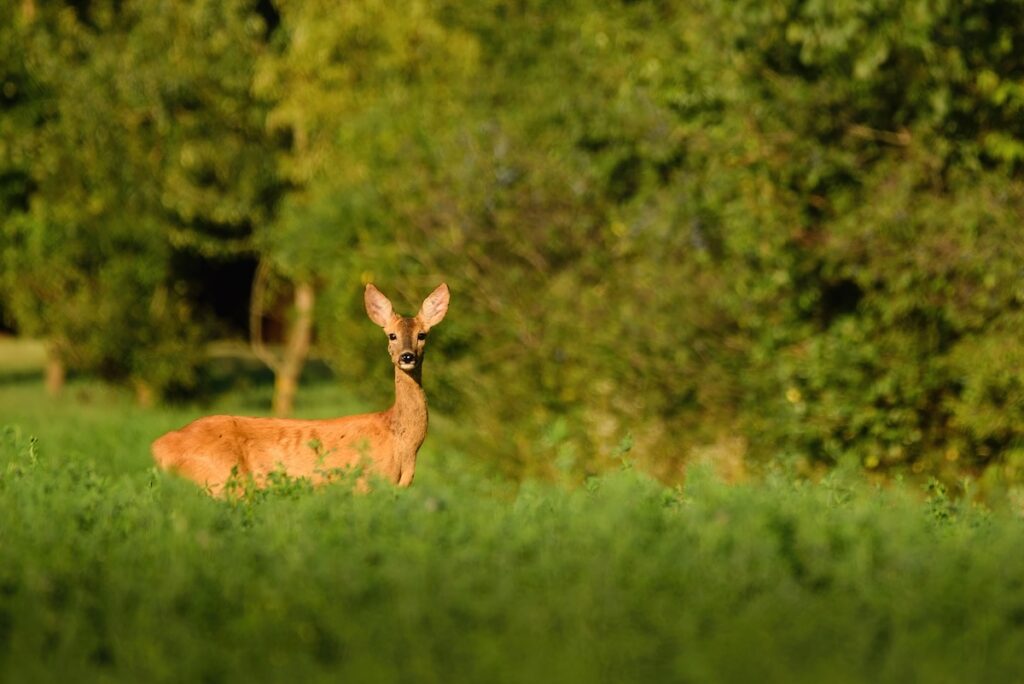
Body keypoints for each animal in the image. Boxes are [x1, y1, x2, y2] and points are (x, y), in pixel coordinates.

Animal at [151, 283, 450, 496]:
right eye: (392, 335)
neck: (402, 443)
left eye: (422, 335)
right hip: (220, 481)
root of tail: (160, 446)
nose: (407, 356)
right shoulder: (365, 484)